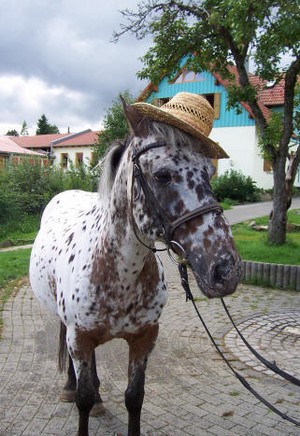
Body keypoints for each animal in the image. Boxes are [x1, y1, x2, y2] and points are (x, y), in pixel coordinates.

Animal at [29, 95, 241, 436]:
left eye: (209, 172)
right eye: (163, 175)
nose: (225, 269)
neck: (119, 274)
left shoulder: (144, 339)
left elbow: (134, 397)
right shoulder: (80, 338)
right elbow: (83, 400)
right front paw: (82, 396)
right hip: (69, 328)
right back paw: (70, 387)